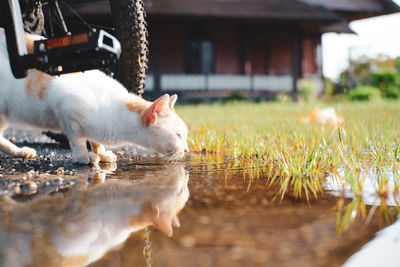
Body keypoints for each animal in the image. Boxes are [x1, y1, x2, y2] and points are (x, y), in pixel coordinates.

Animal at [0, 29, 189, 163]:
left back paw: (20, 151)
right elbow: (77, 138)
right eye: (179, 135)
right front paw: (83, 156)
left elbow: (95, 141)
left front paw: (102, 153)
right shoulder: (67, 110)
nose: (187, 150)